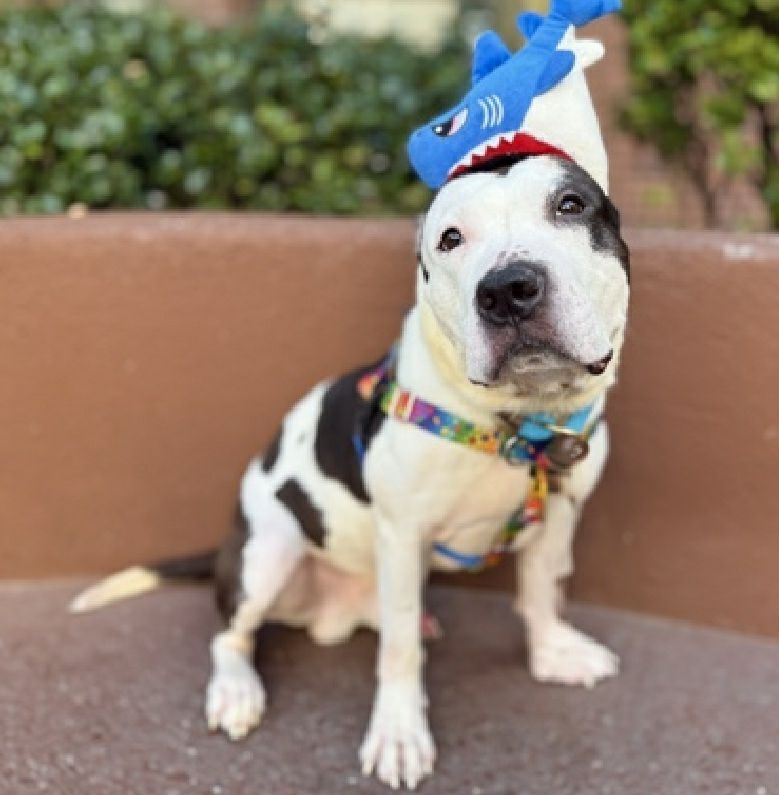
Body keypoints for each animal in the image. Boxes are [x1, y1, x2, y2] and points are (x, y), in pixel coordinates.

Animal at [72, 153, 630, 790]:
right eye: (450, 238)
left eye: (570, 205)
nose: (507, 289)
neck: (517, 427)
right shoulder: (403, 531)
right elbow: (399, 652)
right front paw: (399, 732)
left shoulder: (558, 511)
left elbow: (540, 591)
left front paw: (551, 653)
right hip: (270, 550)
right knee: (232, 634)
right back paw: (236, 690)